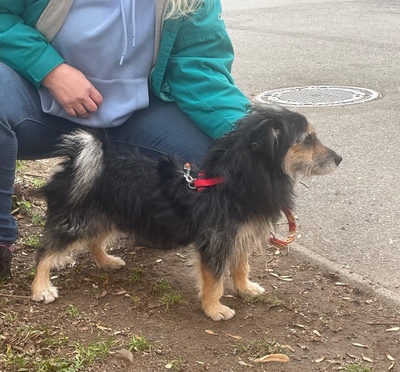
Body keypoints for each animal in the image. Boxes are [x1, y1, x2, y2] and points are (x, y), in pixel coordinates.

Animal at [32, 104, 342, 320]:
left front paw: (245, 288)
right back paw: (41, 288)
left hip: (105, 216)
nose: (340, 159)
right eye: (307, 138)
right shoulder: (215, 241)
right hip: (76, 220)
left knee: (94, 241)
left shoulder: (239, 237)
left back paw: (106, 261)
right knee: (45, 252)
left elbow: (241, 266)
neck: (232, 183)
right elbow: (214, 280)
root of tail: (76, 162)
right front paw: (214, 308)